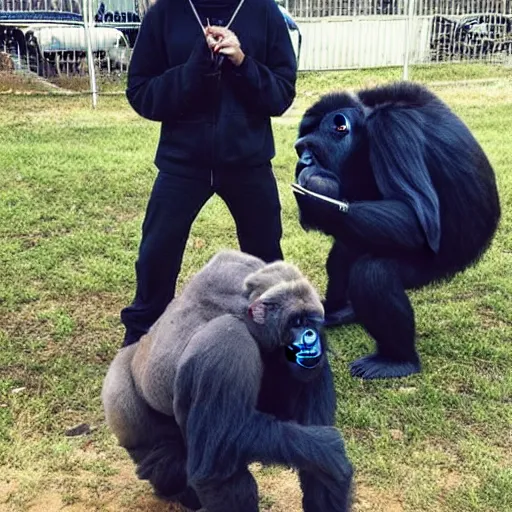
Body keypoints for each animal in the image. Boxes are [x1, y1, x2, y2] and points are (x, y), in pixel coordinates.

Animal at [102, 251, 354, 512]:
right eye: (296, 322)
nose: (310, 338)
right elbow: (221, 452)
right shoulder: (227, 340)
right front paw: (328, 450)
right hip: (120, 396)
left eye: (310, 321)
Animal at [292, 82, 500, 380]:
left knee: (374, 274)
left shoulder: (393, 130)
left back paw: (398, 359)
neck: (367, 122)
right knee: (347, 250)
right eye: (300, 151)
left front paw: (317, 191)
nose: (304, 162)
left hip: (437, 267)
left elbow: (417, 220)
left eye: (310, 148)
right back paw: (340, 310)